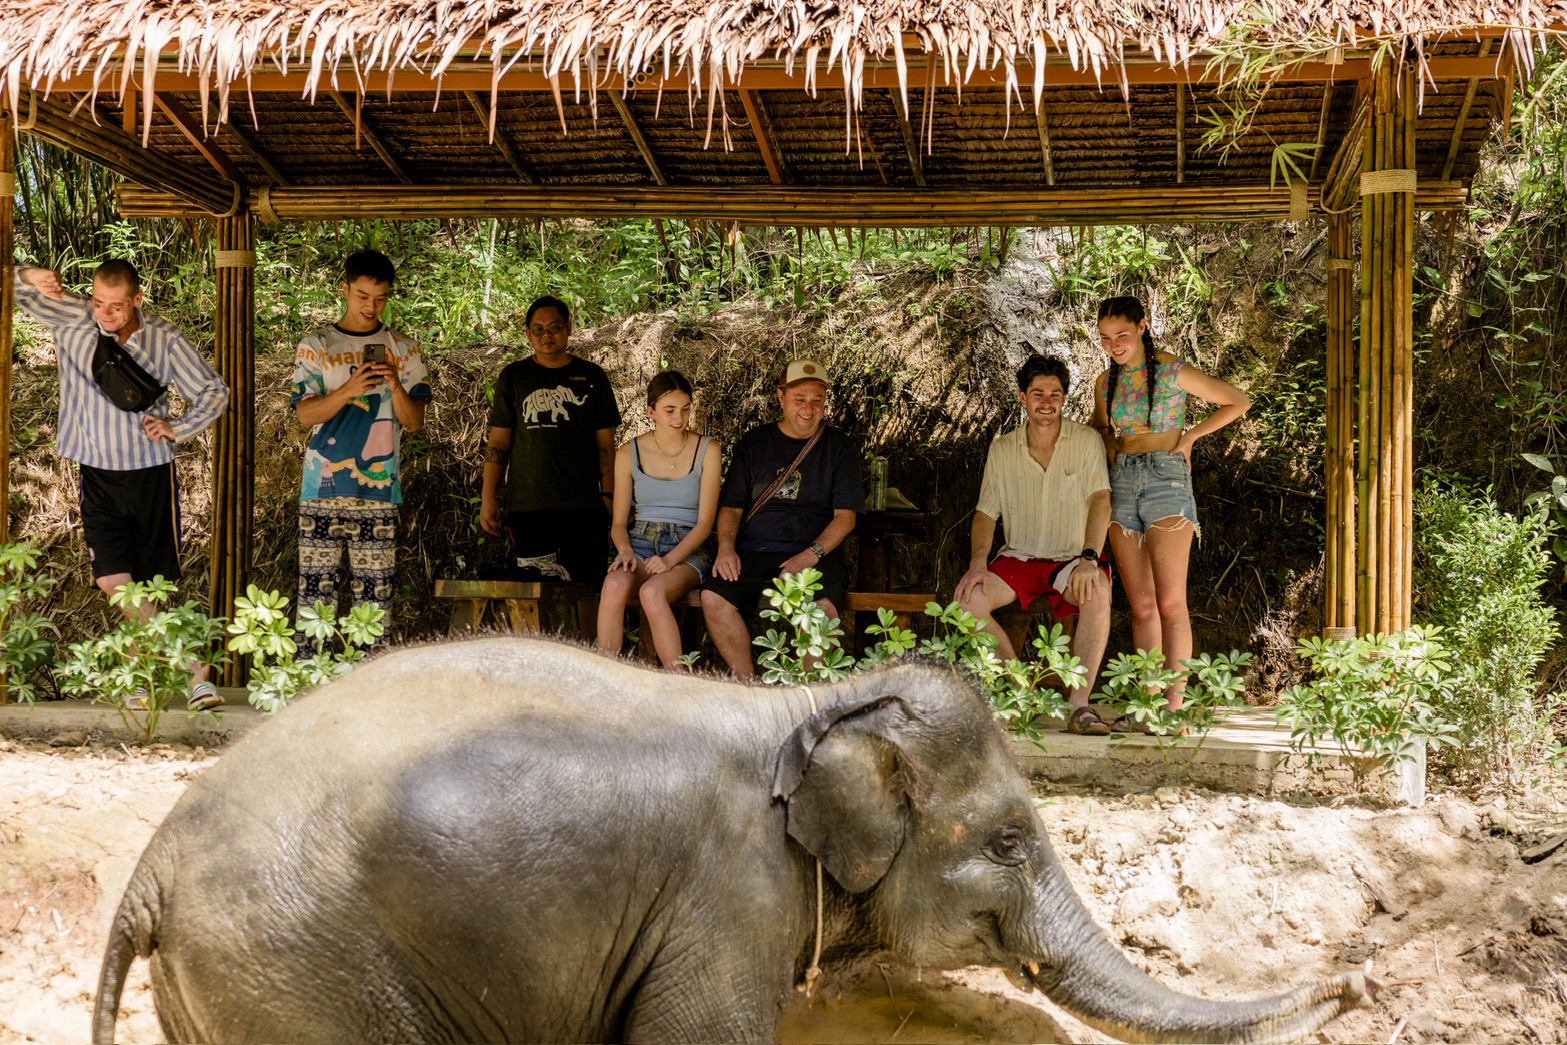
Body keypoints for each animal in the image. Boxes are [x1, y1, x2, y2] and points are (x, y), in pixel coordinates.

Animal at [93, 638, 1376, 1043]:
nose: (1353, 981)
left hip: (228, 982)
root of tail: (148, 864)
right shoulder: (725, 898)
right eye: (1012, 841)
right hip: (297, 966)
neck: (814, 706)